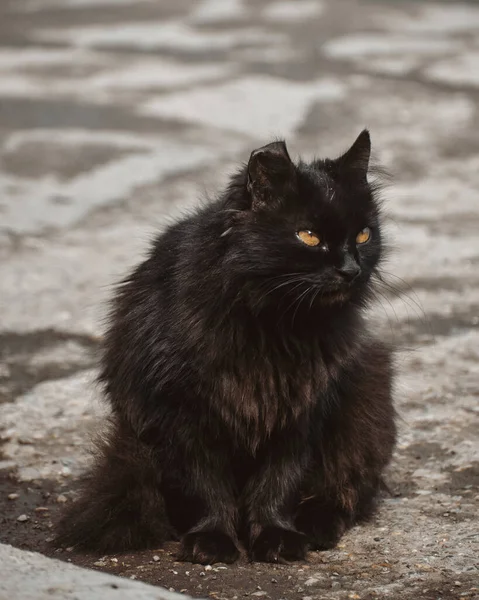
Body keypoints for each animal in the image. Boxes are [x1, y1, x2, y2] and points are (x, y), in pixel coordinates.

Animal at [55, 129, 398, 564]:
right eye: (308, 236)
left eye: (364, 235)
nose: (351, 269)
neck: (277, 326)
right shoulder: (181, 413)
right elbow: (204, 485)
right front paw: (212, 540)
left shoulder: (299, 410)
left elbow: (279, 482)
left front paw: (276, 537)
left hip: (368, 394)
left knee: (346, 487)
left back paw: (315, 525)